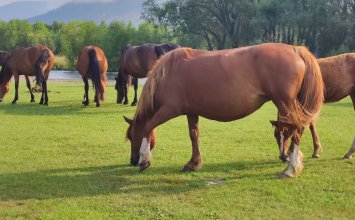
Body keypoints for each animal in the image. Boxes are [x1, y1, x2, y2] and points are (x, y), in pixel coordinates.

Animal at [124, 43, 326, 179]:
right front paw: (194, 163)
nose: (132, 161)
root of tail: (294, 48)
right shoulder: (191, 111)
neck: (169, 73)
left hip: (284, 102)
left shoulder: (169, 109)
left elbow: (148, 126)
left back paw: (290, 169)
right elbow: (193, 135)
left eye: (131, 136)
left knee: (296, 130)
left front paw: (145, 160)